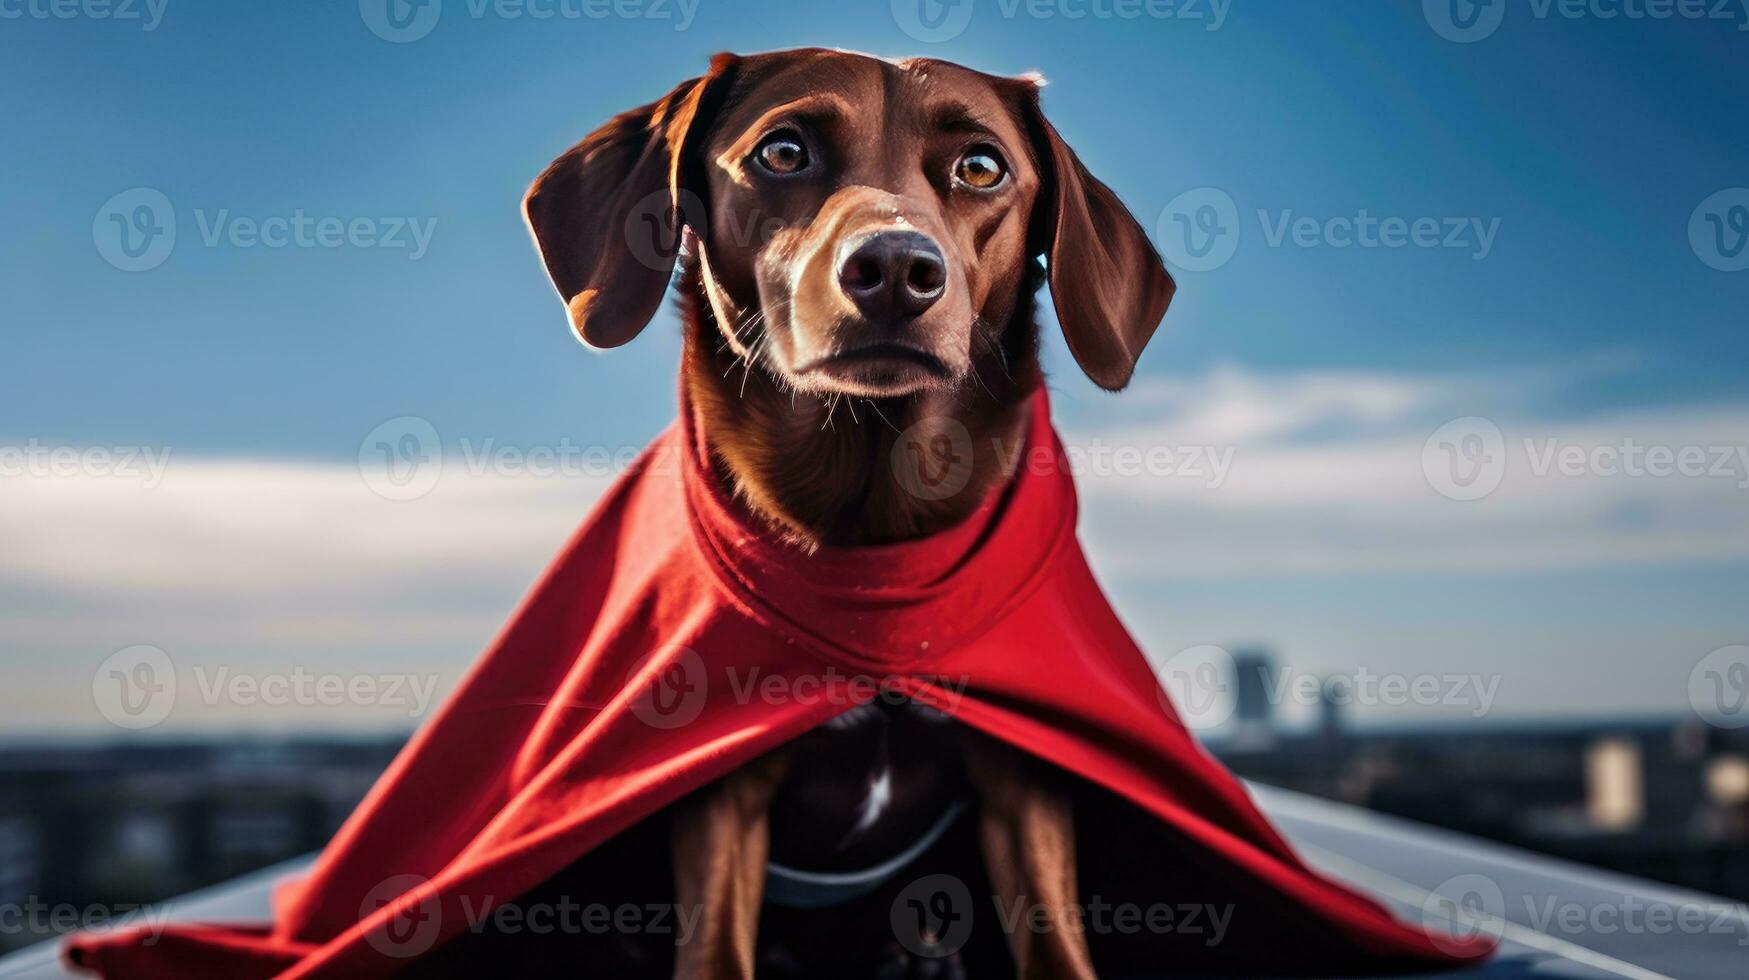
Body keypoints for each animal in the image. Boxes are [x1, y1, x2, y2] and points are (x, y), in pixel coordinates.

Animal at [517, 47, 1175, 980]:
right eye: (782, 151)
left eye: (981, 166)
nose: (897, 269)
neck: (872, 542)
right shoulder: (723, 806)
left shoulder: (1022, 791)